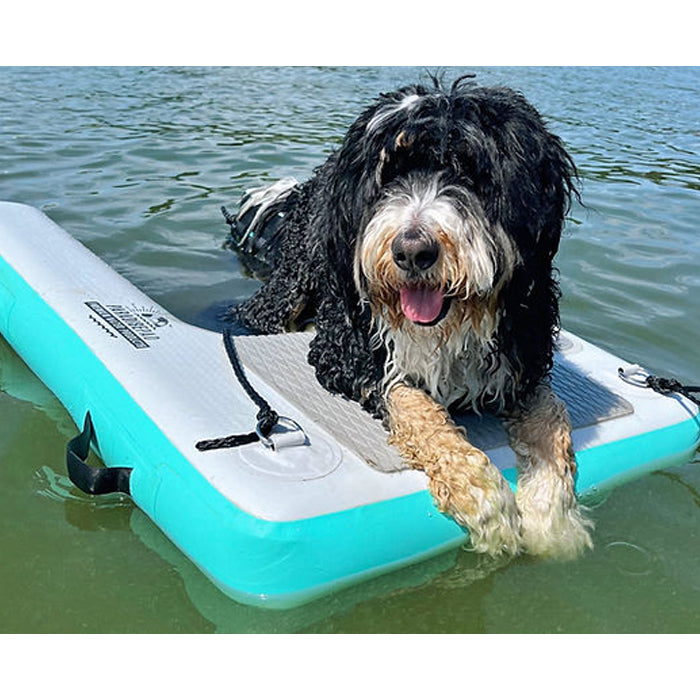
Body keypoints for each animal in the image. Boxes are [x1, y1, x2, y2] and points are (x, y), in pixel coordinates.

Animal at [227, 75, 592, 556]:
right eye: (390, 173)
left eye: (470, 172)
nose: (412, 251)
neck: (453, 326)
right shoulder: (347, 356)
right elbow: (415, 405)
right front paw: (482, 497)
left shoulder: (524, 359)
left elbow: (552, 420)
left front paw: (554, 521)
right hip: (289, 287)